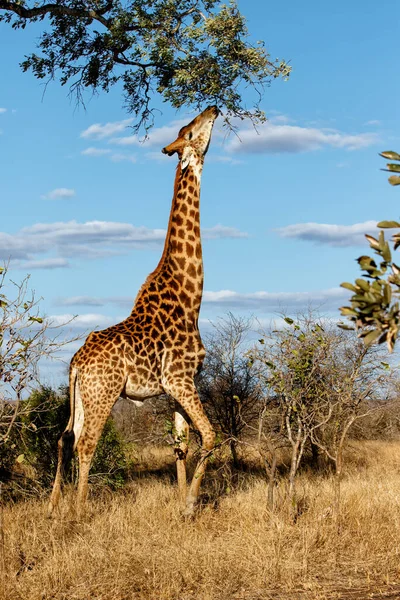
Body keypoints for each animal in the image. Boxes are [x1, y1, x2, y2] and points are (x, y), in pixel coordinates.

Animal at [48, 105, 220, 516]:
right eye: (190, 132)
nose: (213, 108)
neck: (191, 297)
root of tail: (76, 363)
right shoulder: (181, 378)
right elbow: (210, 436)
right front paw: (190, 504)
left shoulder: (177, 385)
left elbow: (181, 445)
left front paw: (180, 502)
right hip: (104, 392)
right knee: (86, 443)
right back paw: (79, 511)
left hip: (82, 393)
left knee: (65, 437)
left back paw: (54, 506)